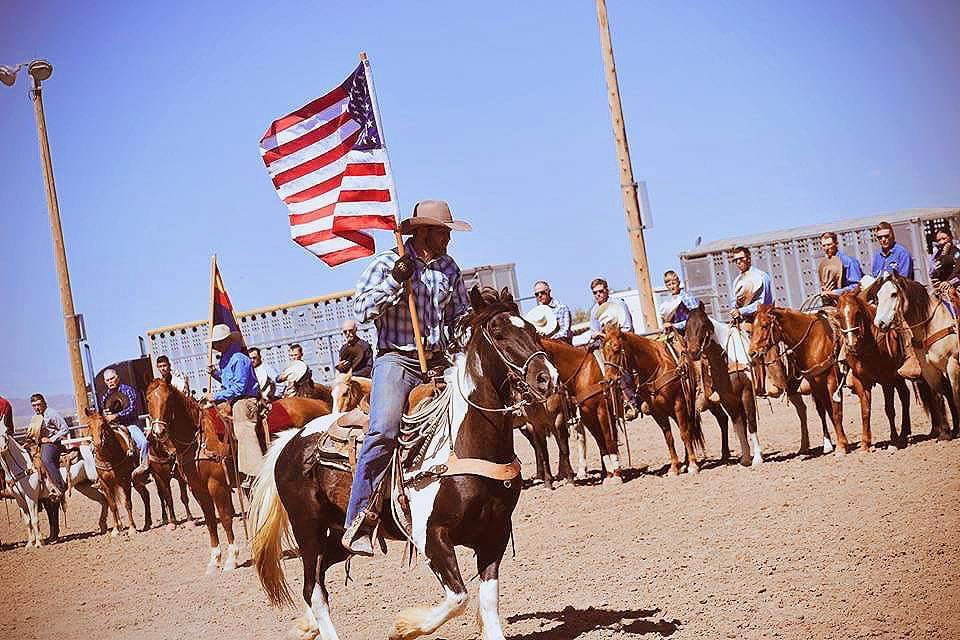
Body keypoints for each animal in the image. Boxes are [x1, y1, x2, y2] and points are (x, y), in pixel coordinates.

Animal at [147, 380, 242, 576]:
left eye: (169, 398)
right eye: (147, 399)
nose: (159, 432)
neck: (198, 440)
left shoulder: (217, 485)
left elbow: (225, 517)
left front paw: (232, 558)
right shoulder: (198, 489)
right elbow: (210, 521)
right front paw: (214, 560)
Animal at [251, 288, 560, 640]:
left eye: (532, 329)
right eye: (498, 332)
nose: (547, 379)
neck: (464, 449)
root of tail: (292, 439)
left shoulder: (494, 534)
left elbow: (488, 602)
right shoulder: (431, 537)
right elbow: (459, 598)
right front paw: (404, 627)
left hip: (341, 534)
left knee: (320, 576)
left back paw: (306, 625)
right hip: (307, 529)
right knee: (313, 590)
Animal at [600, 324, 704, 476]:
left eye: (616, 348)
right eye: (603, 351)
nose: (608, 380)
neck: (656, 366)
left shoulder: (678, 404)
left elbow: (684, 434)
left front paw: (693, 465)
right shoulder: (657, 412)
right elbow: (669, 438)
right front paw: (674, 467)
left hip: (685, 406)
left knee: (688, 430)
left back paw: (689, 462)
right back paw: (684, 463)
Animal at [688, 302, 760, 468]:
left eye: (703, 324)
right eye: (686, 328)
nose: (693, 352)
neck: (729, 360)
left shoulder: (747, 393)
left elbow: (751, 423)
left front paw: (758, 458)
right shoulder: (728, 399)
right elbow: (739, 426)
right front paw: (746, 458)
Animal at [748, 304, 852, 456]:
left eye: (765, 325)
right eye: (751, 329)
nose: (752, 353)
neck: (812, 341)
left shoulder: (832, 380)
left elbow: (836, 411)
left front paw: (842, 446)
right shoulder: (816, 384)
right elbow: (828, 411)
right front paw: (839, 443)